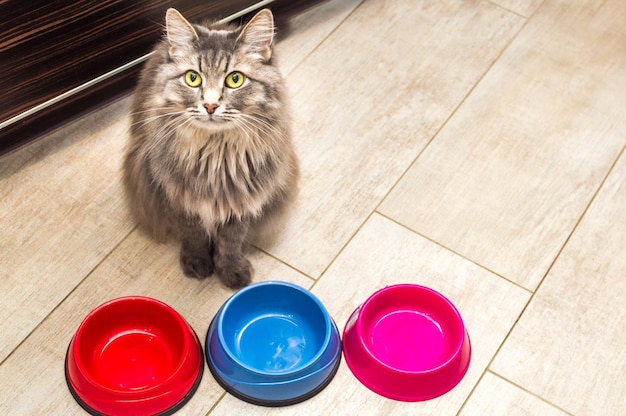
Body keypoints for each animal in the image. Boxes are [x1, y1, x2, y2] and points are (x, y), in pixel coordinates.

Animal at [123, 8, 298, 290]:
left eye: (235, 79)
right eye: (192, 78)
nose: (210, 105)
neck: (216, 156)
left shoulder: (242, 200)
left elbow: (231, 242)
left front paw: (231, 272)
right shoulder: (178, 197)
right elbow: (193, 234)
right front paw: (197, 264)